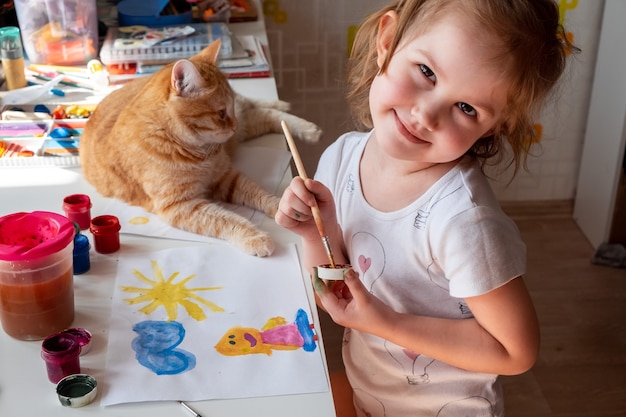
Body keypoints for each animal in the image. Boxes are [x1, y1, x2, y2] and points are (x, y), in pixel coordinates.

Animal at [80, 39, 320, 254]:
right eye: (221, 113)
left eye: (228, 108)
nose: (233, 125)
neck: (194, 151)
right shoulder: (182, 206)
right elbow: (226, 220)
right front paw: (255, 236)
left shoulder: (228, 176)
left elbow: (260, 194)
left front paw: (284, 206)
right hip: (244, 128)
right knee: (264, 114)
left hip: (245, 121)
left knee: (262, 108)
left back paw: (305, 125)